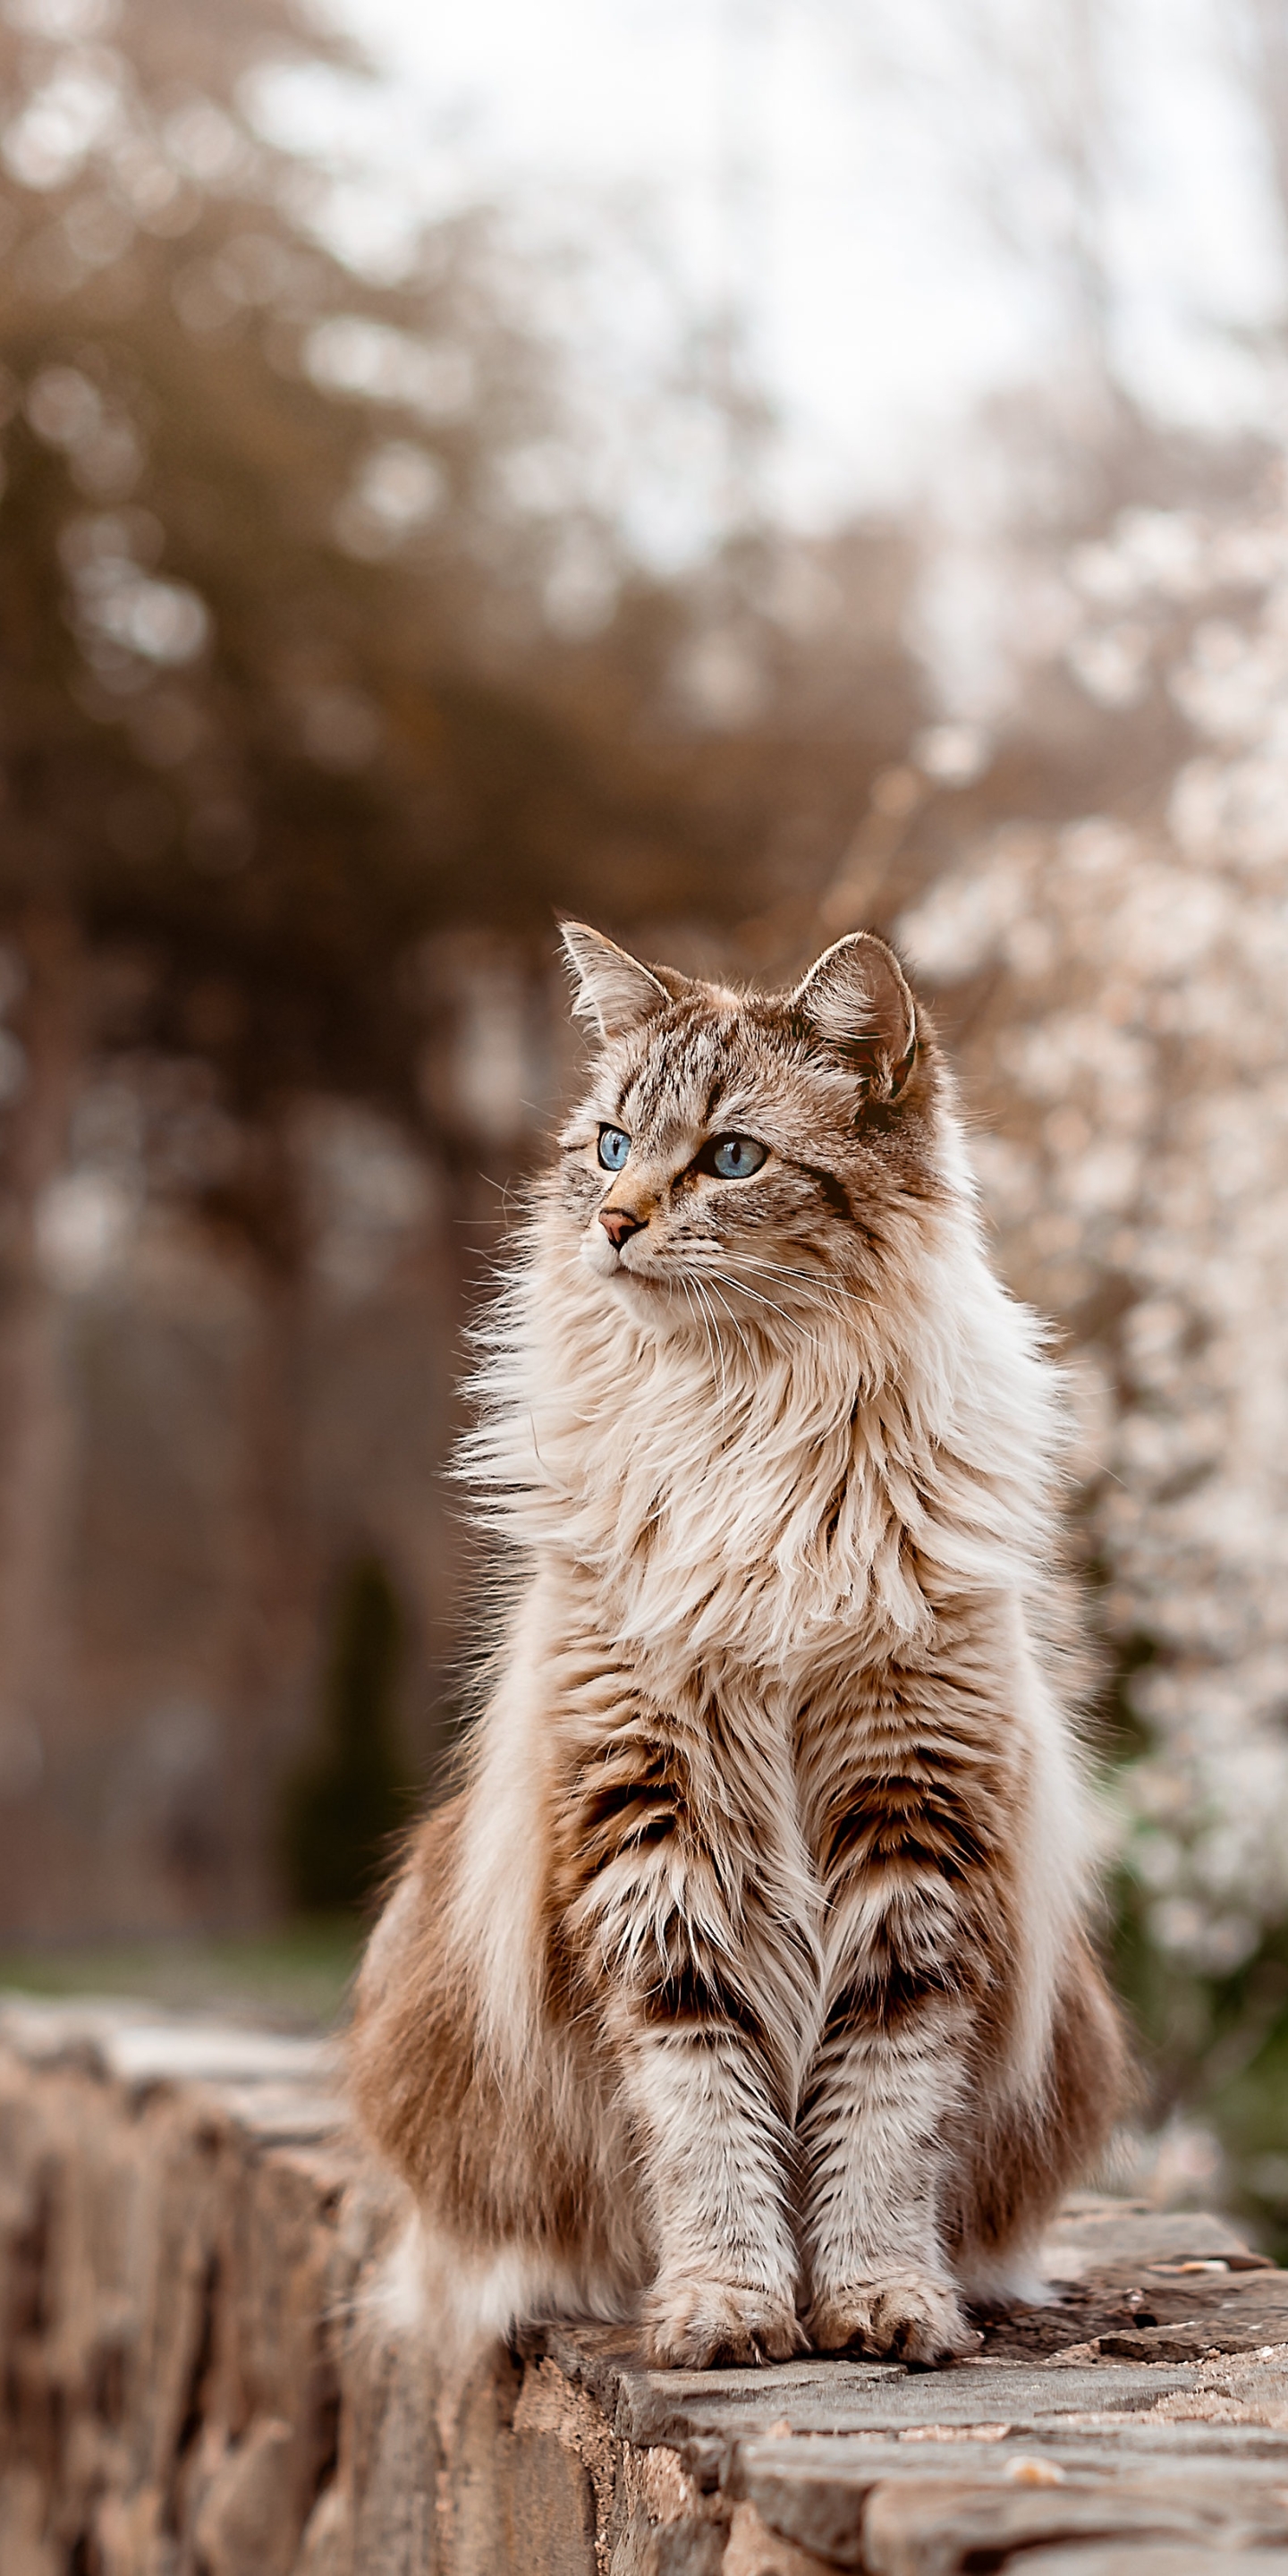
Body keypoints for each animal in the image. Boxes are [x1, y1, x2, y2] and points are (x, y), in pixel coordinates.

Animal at [352, 917, 1128, 2360]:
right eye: (610, 1145)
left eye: (729, 1159)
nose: (614, 1223)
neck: (748, 1427)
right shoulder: (646, 1822)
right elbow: (706, 2114)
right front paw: (728, 2309)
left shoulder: (913, 1824)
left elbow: (880, 2120)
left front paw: (879, 2303)